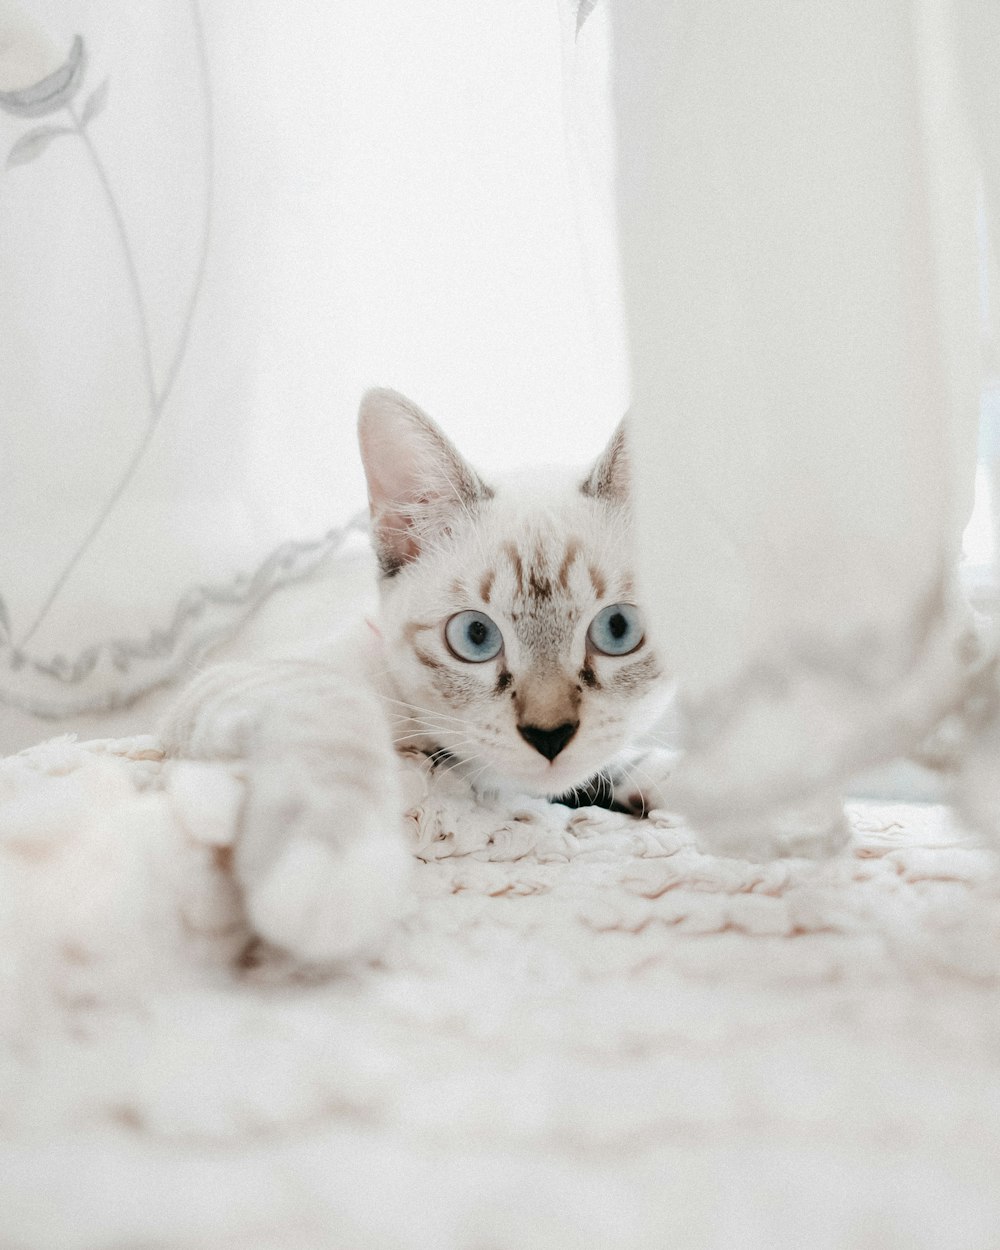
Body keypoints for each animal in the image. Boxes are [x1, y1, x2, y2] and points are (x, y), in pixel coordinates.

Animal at [163, 390, 675, 965]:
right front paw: (332, 877)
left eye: (617, 629)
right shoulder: (243, 681)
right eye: (476, 636)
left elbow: (630, 765)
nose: (549, 735)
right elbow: (337, 716)